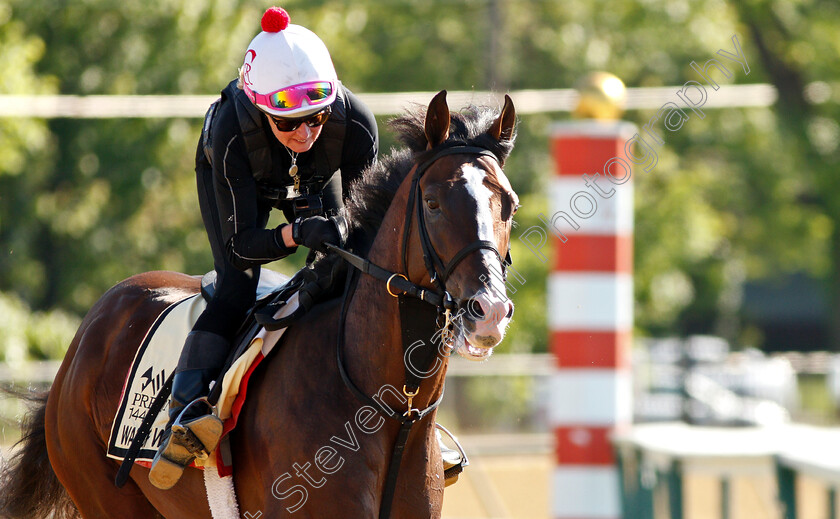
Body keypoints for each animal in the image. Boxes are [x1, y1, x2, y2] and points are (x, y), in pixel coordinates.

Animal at [0, 91, 520, 516]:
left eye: (509, 205)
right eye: (432, 203)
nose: (488, 311)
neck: (391, 412)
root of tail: (88, 333)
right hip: (103, 493)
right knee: (234, 279)